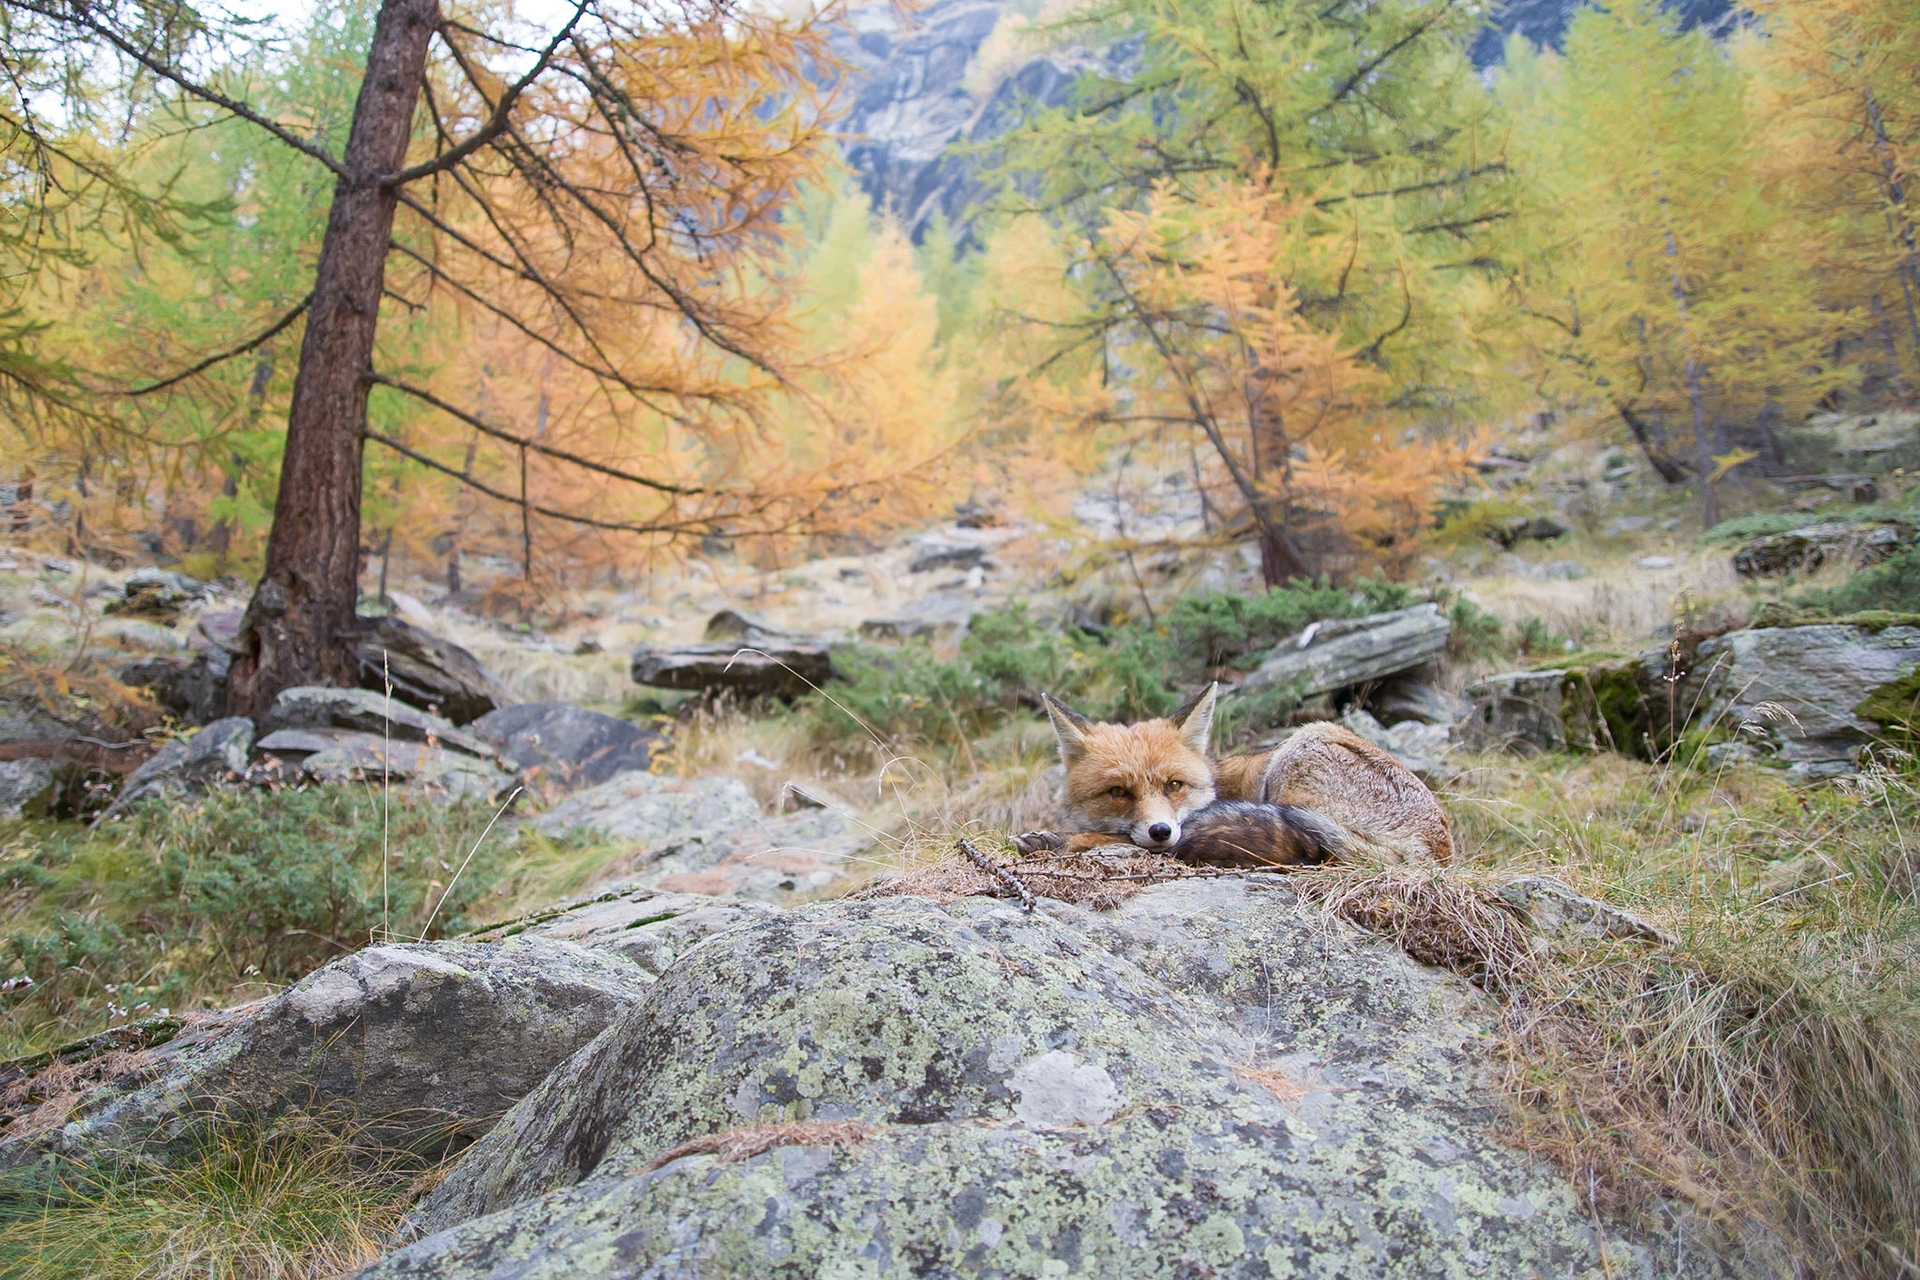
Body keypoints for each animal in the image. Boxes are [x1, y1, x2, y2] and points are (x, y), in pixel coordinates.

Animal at [1013, 683, 1453, 866]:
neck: (1218, 783)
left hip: (1302, 744)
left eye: (1174, 785)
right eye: (1118, 792)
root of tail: (1438, 848)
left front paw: (1058, 840)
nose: (1160, 830)